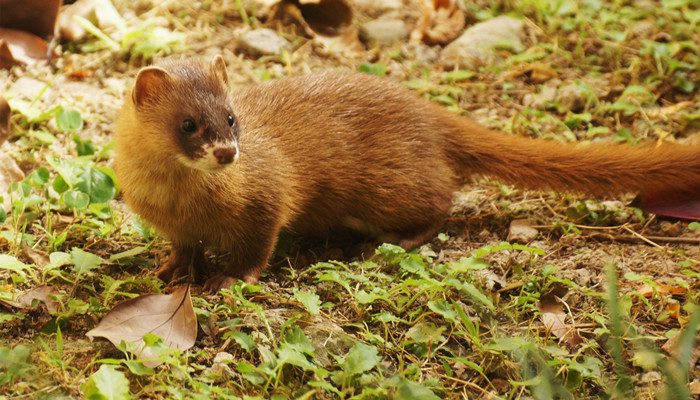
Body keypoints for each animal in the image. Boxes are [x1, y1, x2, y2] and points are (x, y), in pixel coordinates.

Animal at [115, 54, 700, 290]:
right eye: (188, 123)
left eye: (232, 116)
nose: (228, 153)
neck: (180, 201)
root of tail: (426, 110)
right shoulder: (169, 222)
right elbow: (182, 249)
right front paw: (167, 270)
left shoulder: (267, 200)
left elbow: (259, 246)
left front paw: (231, 277)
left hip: (386, 186)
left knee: (441, 202)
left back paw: (391, 243)